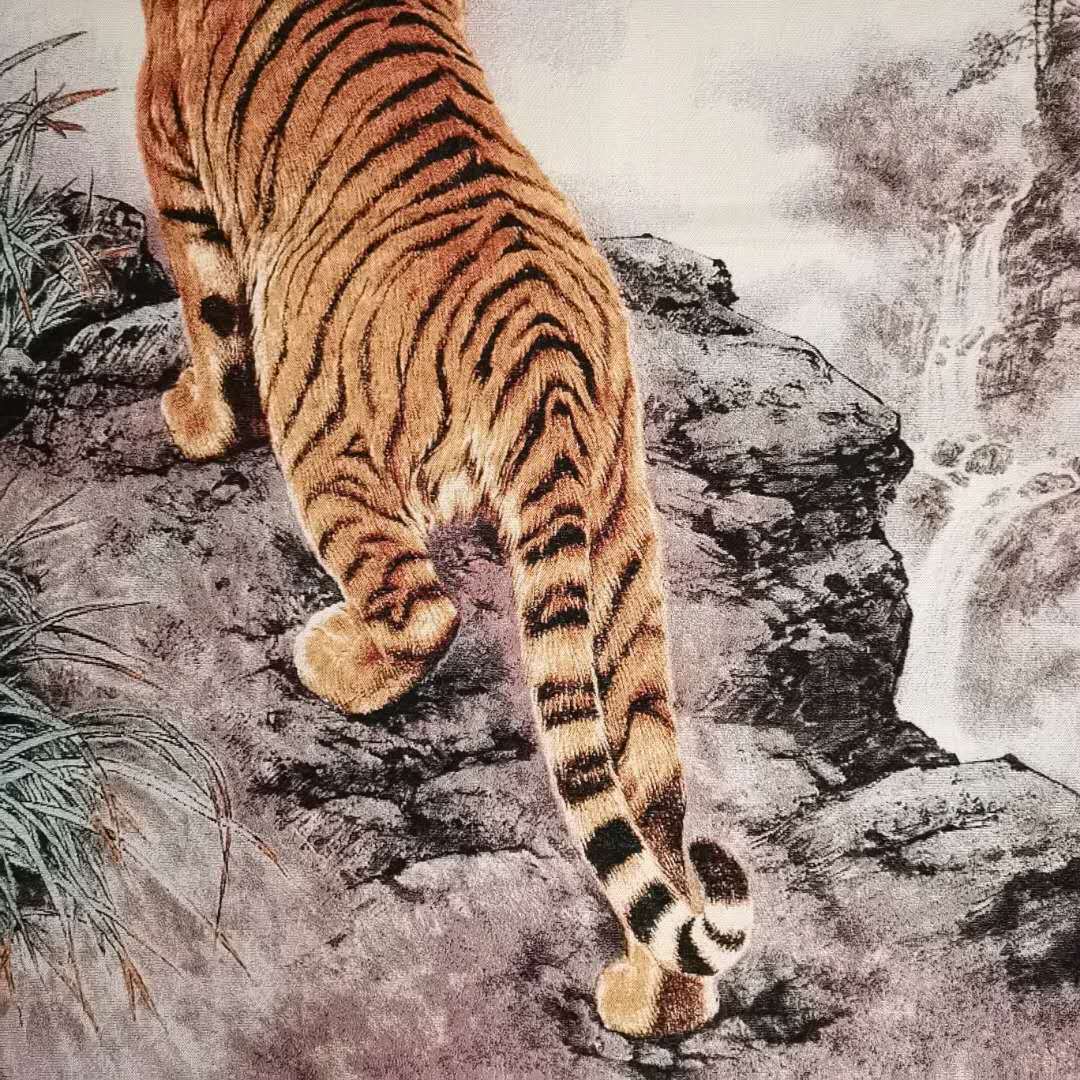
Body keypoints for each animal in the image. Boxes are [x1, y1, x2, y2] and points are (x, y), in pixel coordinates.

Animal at [136, 0, 752, 1038]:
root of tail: (546, 352)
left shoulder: (175, 158)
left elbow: (210, 317)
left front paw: (194, 422)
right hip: (622, 556)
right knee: (652, 801)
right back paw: (653, 1006)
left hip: (327, 434)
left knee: (423, 608)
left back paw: (334, 661)